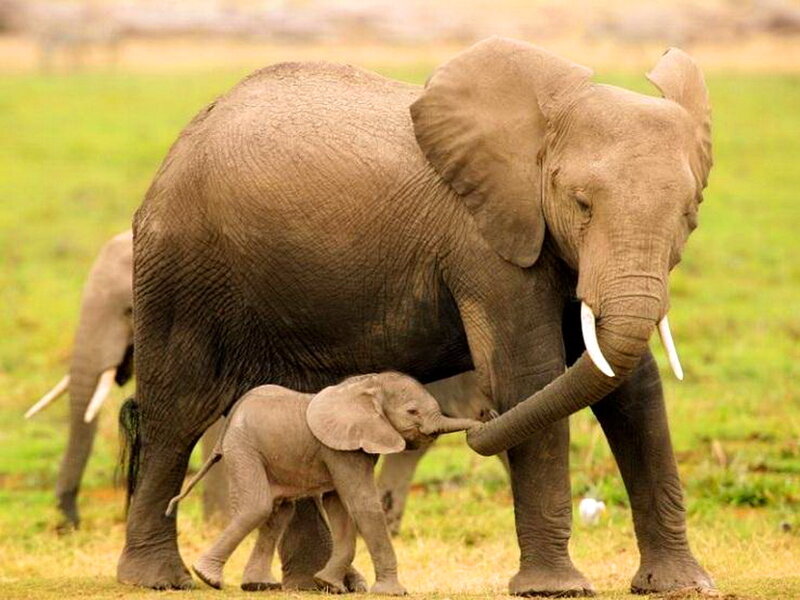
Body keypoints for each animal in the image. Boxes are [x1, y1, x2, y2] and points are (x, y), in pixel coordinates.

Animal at [164, 372, 480, 593]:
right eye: (413, 412)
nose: (481, 420)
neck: (368, 385)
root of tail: (233, 414)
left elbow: (339, 506)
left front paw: (329, 585)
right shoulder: (341, 448)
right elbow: (361, 503)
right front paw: (392, 592)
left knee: (279, 513)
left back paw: (259, 585)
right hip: (244, 447)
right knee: (257, 506)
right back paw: (207, 577)